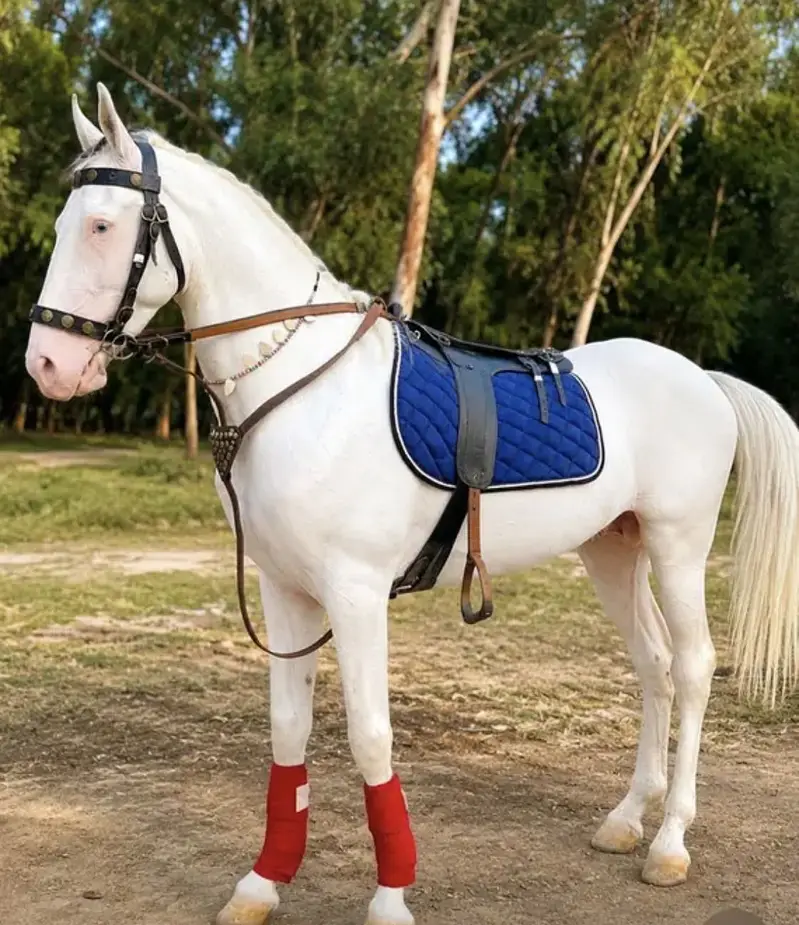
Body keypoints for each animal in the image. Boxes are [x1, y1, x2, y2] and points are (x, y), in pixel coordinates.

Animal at [24, 83, 799, 925]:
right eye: (63, 225)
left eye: (101, 226)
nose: (48, 364)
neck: (302, 384)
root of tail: (702, 377)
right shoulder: (285, 589)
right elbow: (288, 733)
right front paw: (262, 882)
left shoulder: (356, 592)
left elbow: (369, 736)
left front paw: (391, 893)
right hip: (611, 548)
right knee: (652, 664)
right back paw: (627, 819)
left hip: (676, 545)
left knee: (691, 667)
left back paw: (670, 841)